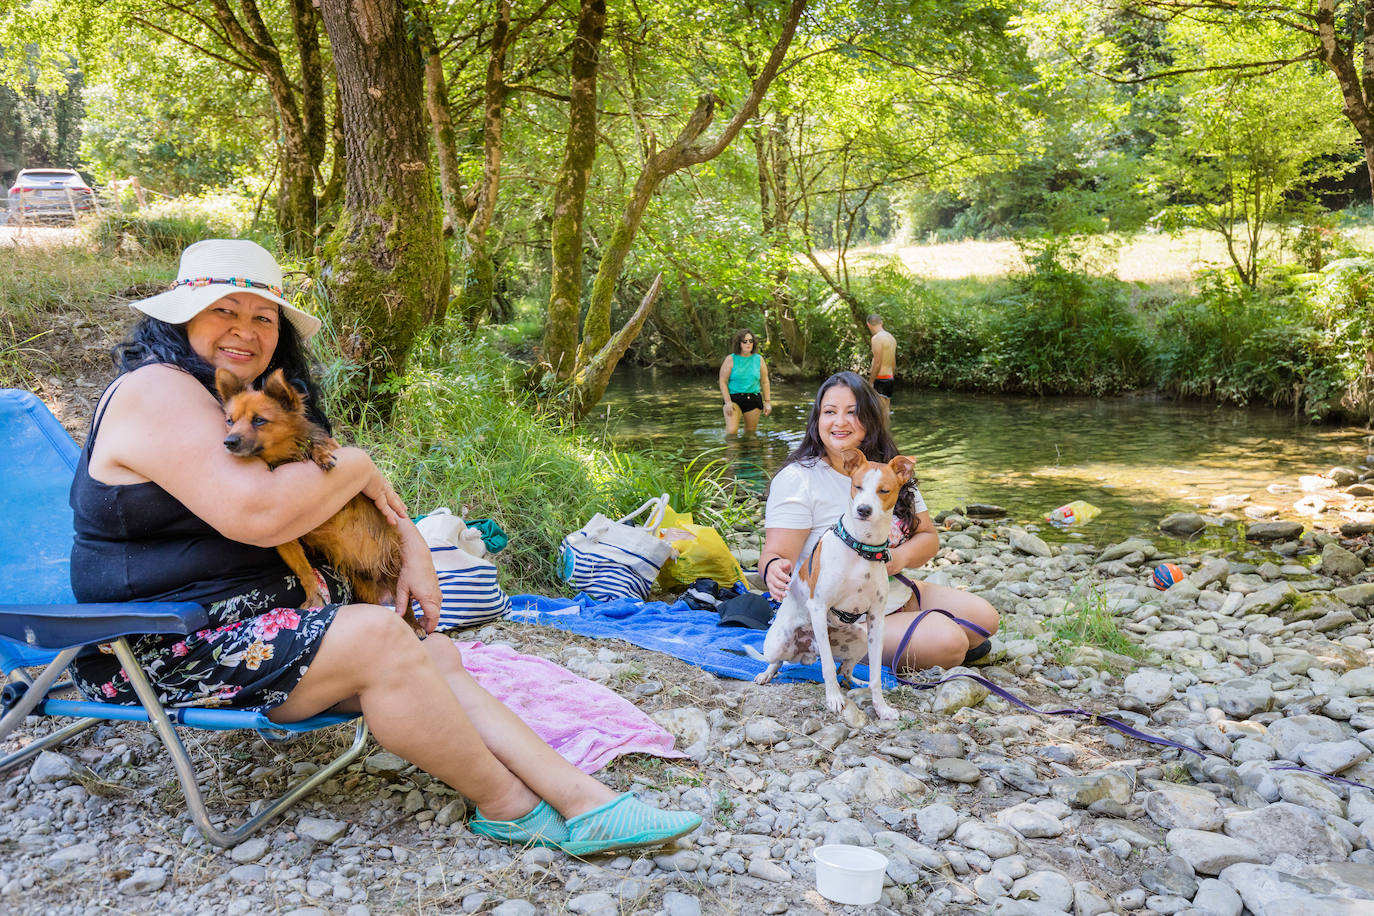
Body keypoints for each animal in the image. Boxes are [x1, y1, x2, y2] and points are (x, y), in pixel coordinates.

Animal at [214, 368, 414, 634]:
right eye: (229, 421)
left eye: (259, 421)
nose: (229, 442)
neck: (285, 458)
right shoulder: (286, 541)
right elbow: (303, 569)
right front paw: (313, 595)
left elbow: (320, 447)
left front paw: (321, 455)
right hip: (365, 589)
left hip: (396, 574)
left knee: (407, 604)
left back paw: (415, 623)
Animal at [752, 450, 912, 725]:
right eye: (857, 486)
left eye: (884, 490)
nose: (863, 509)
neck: (861, 547)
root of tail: (808, 652)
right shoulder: (818, 608)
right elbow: (827, 665)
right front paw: (834, 699)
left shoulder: (876, 619)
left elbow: (876, 675)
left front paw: (881, 708)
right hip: (777, 643)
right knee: (779, 662)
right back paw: (766, 674)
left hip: (859, 639)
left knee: (845, 669)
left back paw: (856, 682)